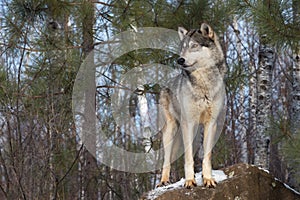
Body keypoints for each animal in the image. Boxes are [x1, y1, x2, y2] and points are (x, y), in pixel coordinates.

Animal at [157, 22, 225, 188]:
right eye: (182, 48)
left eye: (194, 46)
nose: (180, 60)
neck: (204, 84)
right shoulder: (188, 123)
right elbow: (187, 158)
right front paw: (189, 181)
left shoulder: (211, 123)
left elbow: (206, 157)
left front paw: (208, 179)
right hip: (171, 131)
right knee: (167, 159)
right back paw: (164, 181)